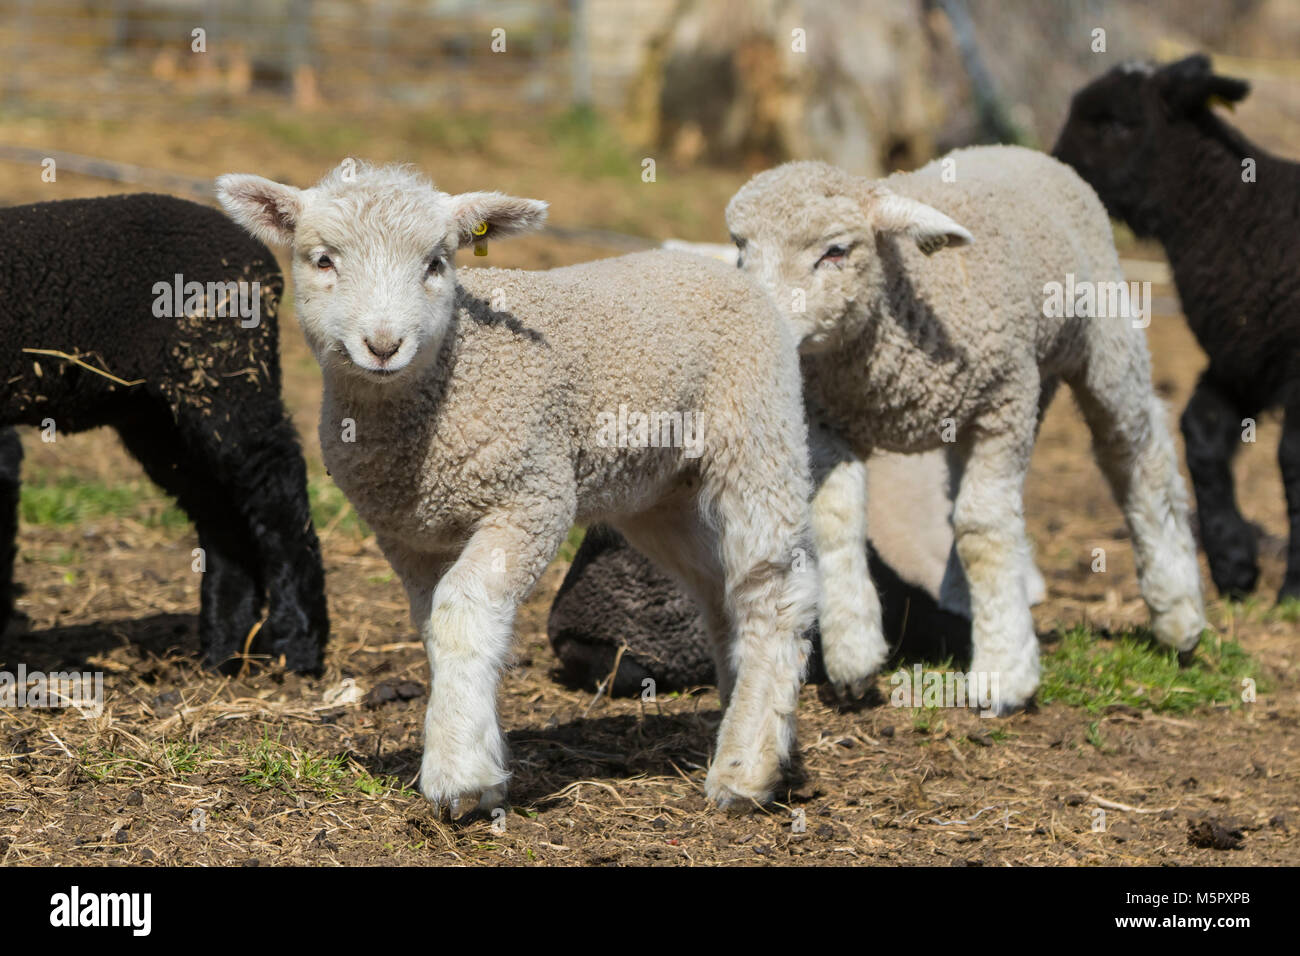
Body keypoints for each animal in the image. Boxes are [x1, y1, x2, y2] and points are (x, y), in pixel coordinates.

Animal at [1, 192, 325, 671]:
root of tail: (260, 256)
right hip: (157, 415)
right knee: (222, 517)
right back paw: (224, 650)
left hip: (226, 378)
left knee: (278, 492)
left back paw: (299, 646)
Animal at [219, 162, 816, 816]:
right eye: (323, 260)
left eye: (436, 263)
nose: (382, 346)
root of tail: (730, 272)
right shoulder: (409, 535)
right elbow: (438, 628)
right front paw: (479, 761)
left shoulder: (532, 495)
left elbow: (463, 610)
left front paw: (457, 775)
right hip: (662, 493)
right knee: (721, 591)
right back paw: (745, 725)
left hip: (758, 435)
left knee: (773, 594)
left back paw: (746, 770)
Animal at [728, 141, 1201, 712]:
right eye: (740, 249)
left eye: (835, 251)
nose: (758, 328)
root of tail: (1011, 149)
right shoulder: (825, 417)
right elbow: (836, 518)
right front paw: (853, 653)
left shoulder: (1001, 408)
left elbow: (983, 527)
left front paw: (1003, 674)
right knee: (961, 492)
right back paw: (962, 595)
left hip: (1103, 343)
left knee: (1136, 453)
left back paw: (1177, 613)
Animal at [1055, 54, 1300, 598]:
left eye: (1115, 124)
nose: (1056, 169)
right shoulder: (1242, 358)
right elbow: (1201, 434)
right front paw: (1233, 565)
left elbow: (1293, 459)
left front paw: (1294, 587)